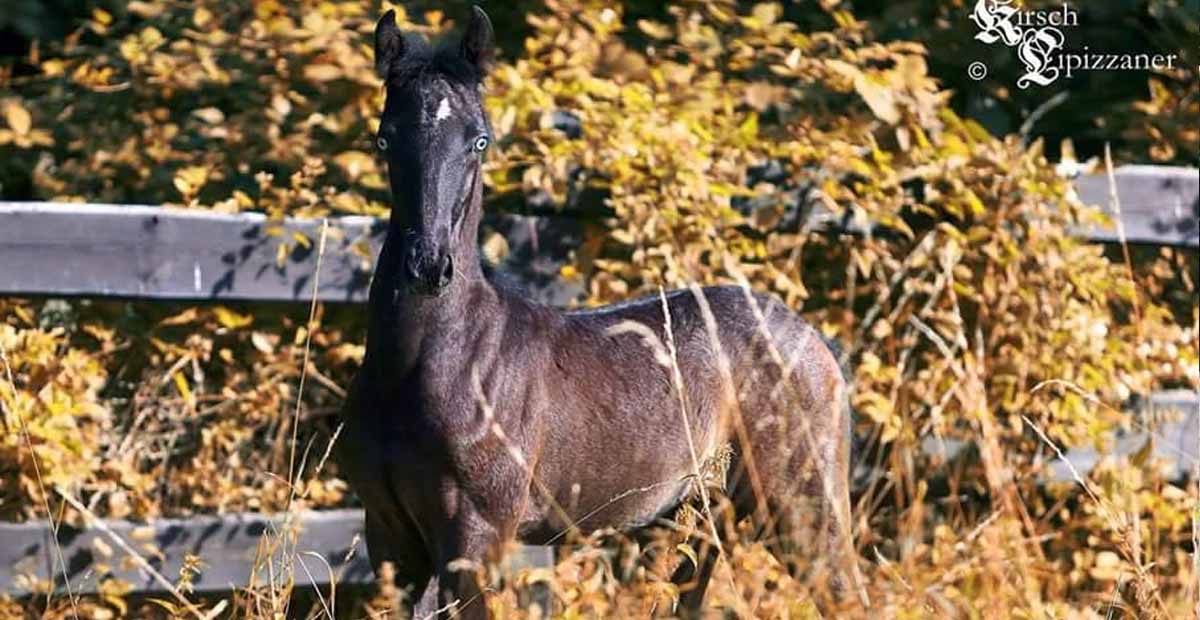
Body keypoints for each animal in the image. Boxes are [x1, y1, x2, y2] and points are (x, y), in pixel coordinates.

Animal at [336, 7, 864, 614]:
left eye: (479, 141)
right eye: (385, 138)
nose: (427, 266)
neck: (426, 369)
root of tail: (815, 342)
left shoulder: (475, 537)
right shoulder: (389, 536)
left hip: (803, 505)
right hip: (704, 516)